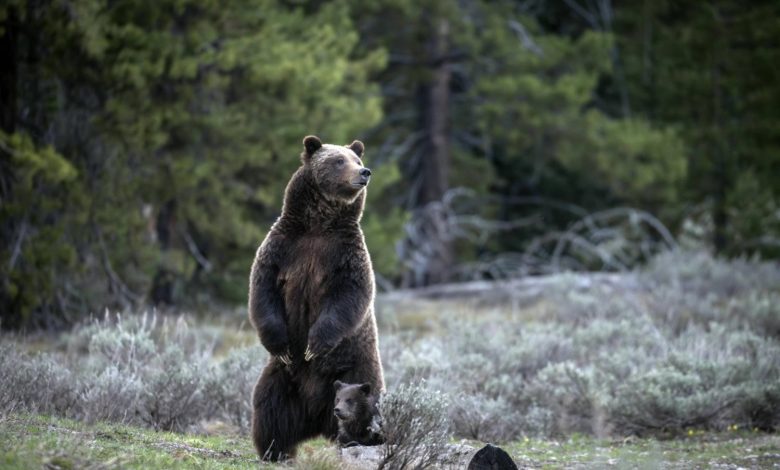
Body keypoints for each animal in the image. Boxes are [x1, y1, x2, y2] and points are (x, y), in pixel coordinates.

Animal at [248, 134, 386, 460]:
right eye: (338, 160)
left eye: (357, 160)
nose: (365, 172)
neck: (319, 224)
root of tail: (316, 417)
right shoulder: (283, 248)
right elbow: (263, 291)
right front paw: (283, 344)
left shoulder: (345, 255)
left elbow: (349, 296)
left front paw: (314, 345)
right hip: (283, 378)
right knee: (269, 407)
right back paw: (275, 450)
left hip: (358, 369)